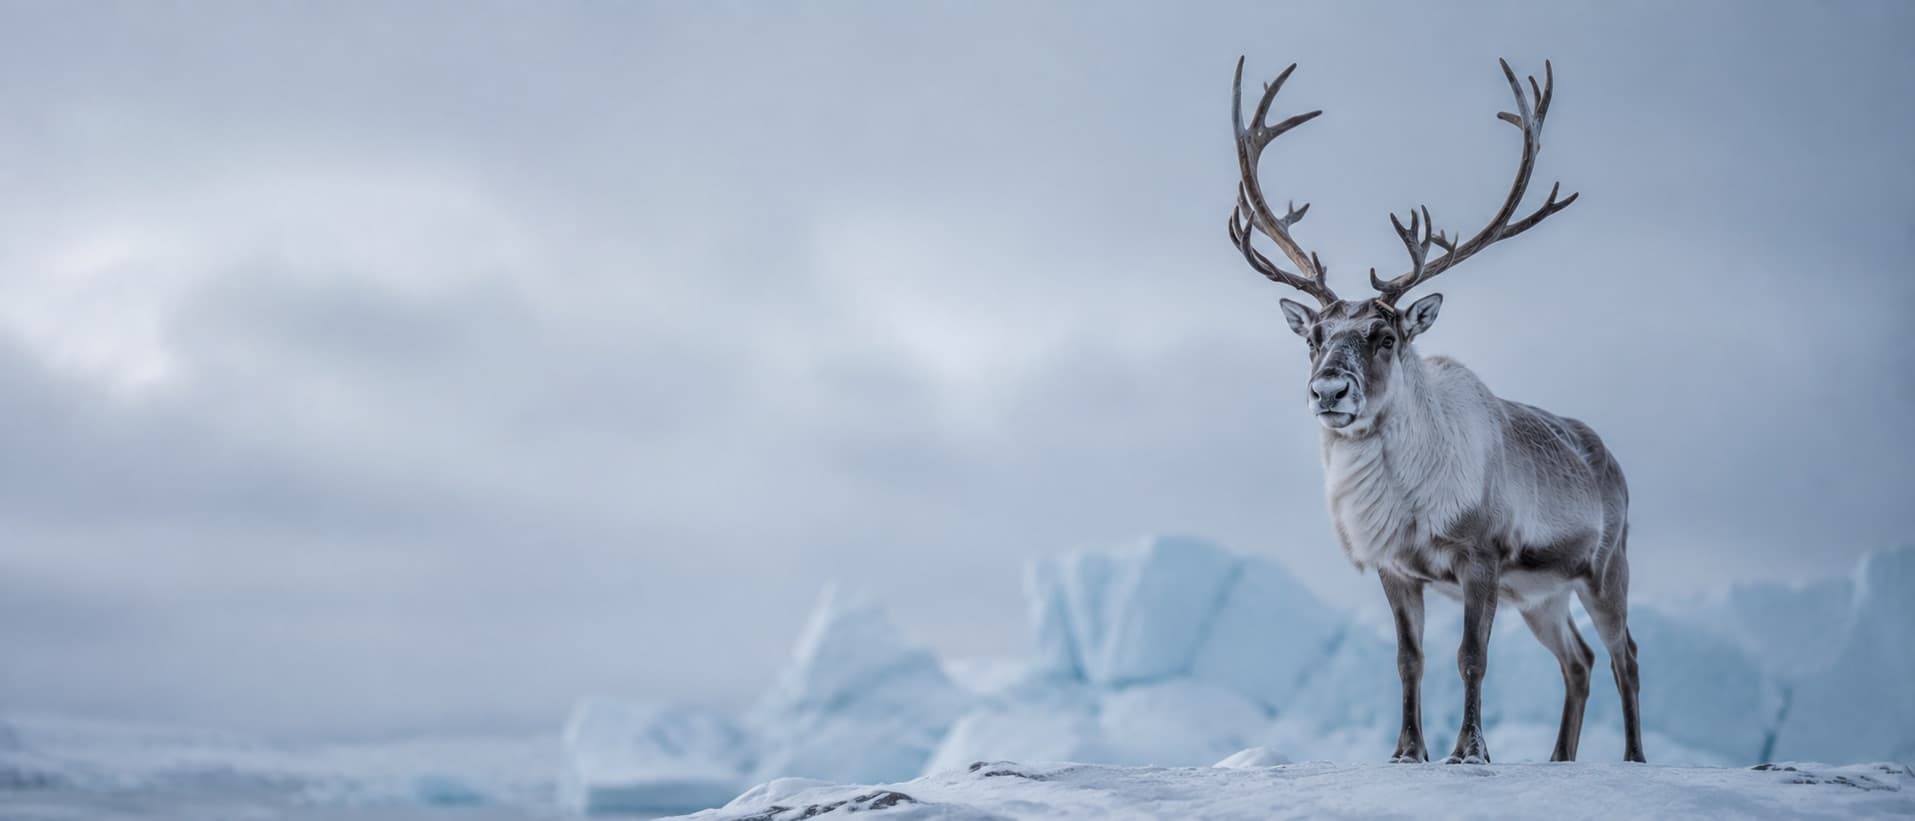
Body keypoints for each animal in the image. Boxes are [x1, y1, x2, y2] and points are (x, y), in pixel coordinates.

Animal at [1224, 57, 1642, 765]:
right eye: (1314, 337)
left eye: (1384, 336)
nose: (1328, 391)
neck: (1405, 498)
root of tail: (1610, 459)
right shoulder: (1396, 570)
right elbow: (1408, 661)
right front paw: (1405, 751)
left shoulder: (1482, 558)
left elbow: (1470, 656)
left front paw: (1469, 750)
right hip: (1541, 596)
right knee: (1579, 661)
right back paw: (1559, 758)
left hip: (1604, 569)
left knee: (1625, 657)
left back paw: (1634, 758)